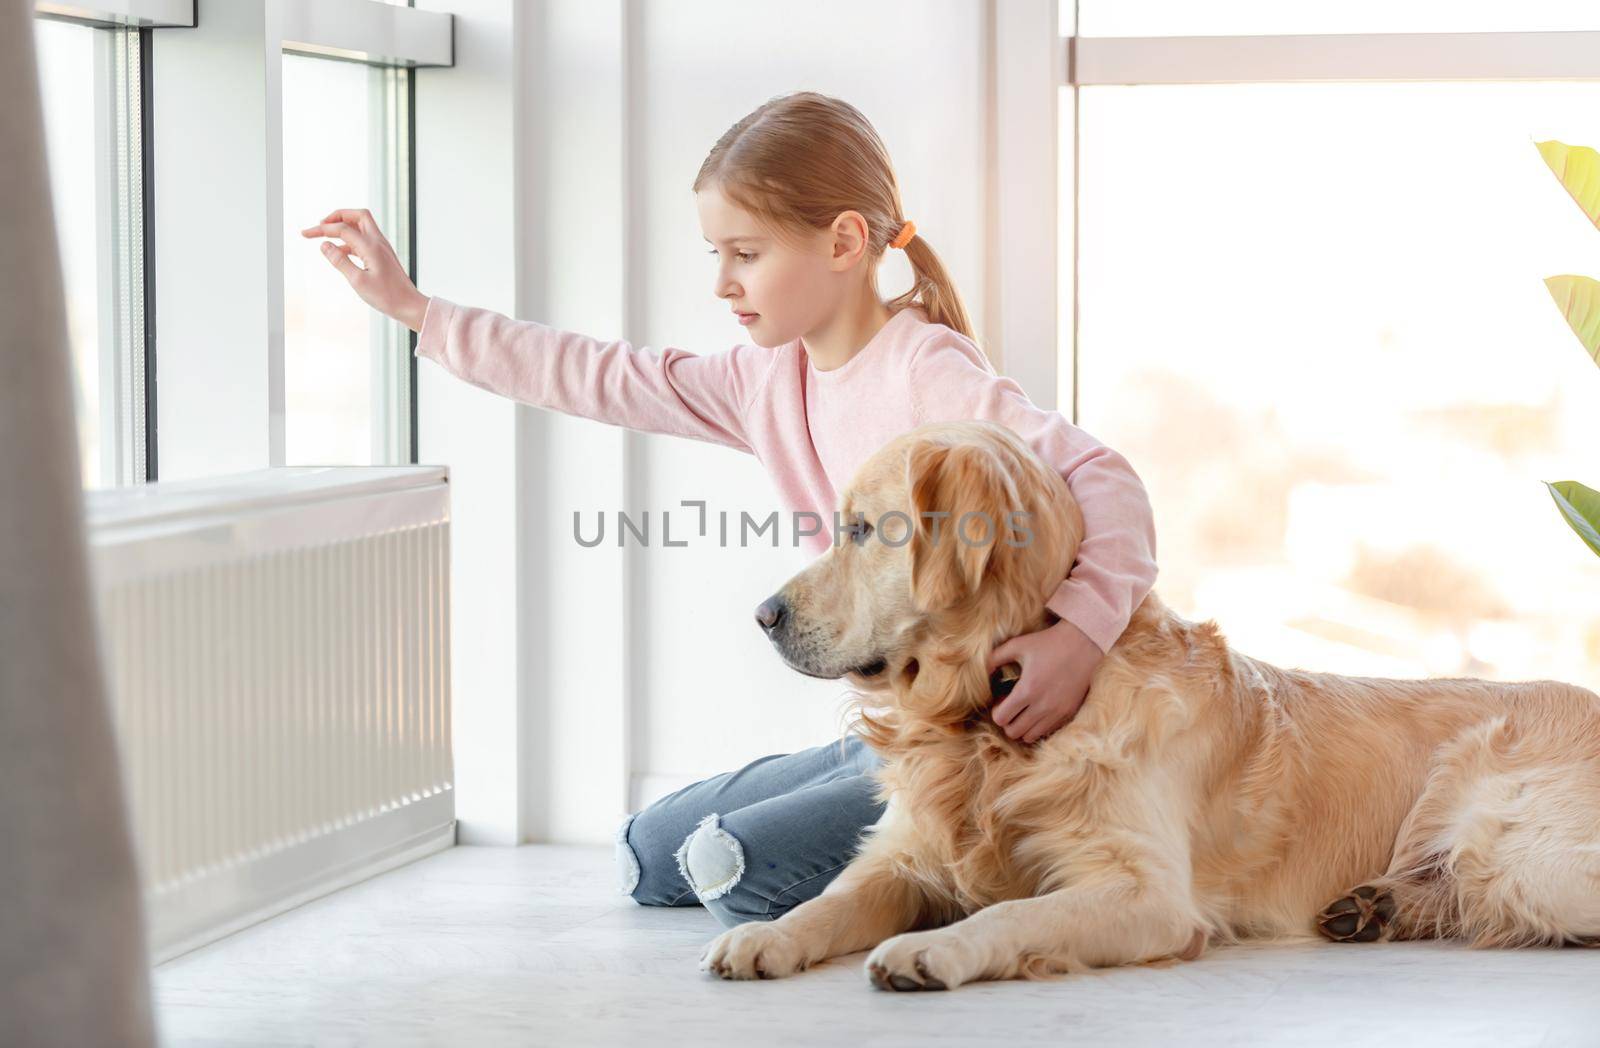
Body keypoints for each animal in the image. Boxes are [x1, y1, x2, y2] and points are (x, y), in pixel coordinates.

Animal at [707, 419, 1600, 992]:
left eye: (863, 530)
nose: (763, 615)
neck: (983, 729)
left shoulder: (1147, 894)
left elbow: (1016, 915)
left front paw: (936, 951)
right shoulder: (902, 857)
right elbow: (830, 902)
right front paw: (764, 938)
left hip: (1512, 850)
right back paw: (1376, 906)